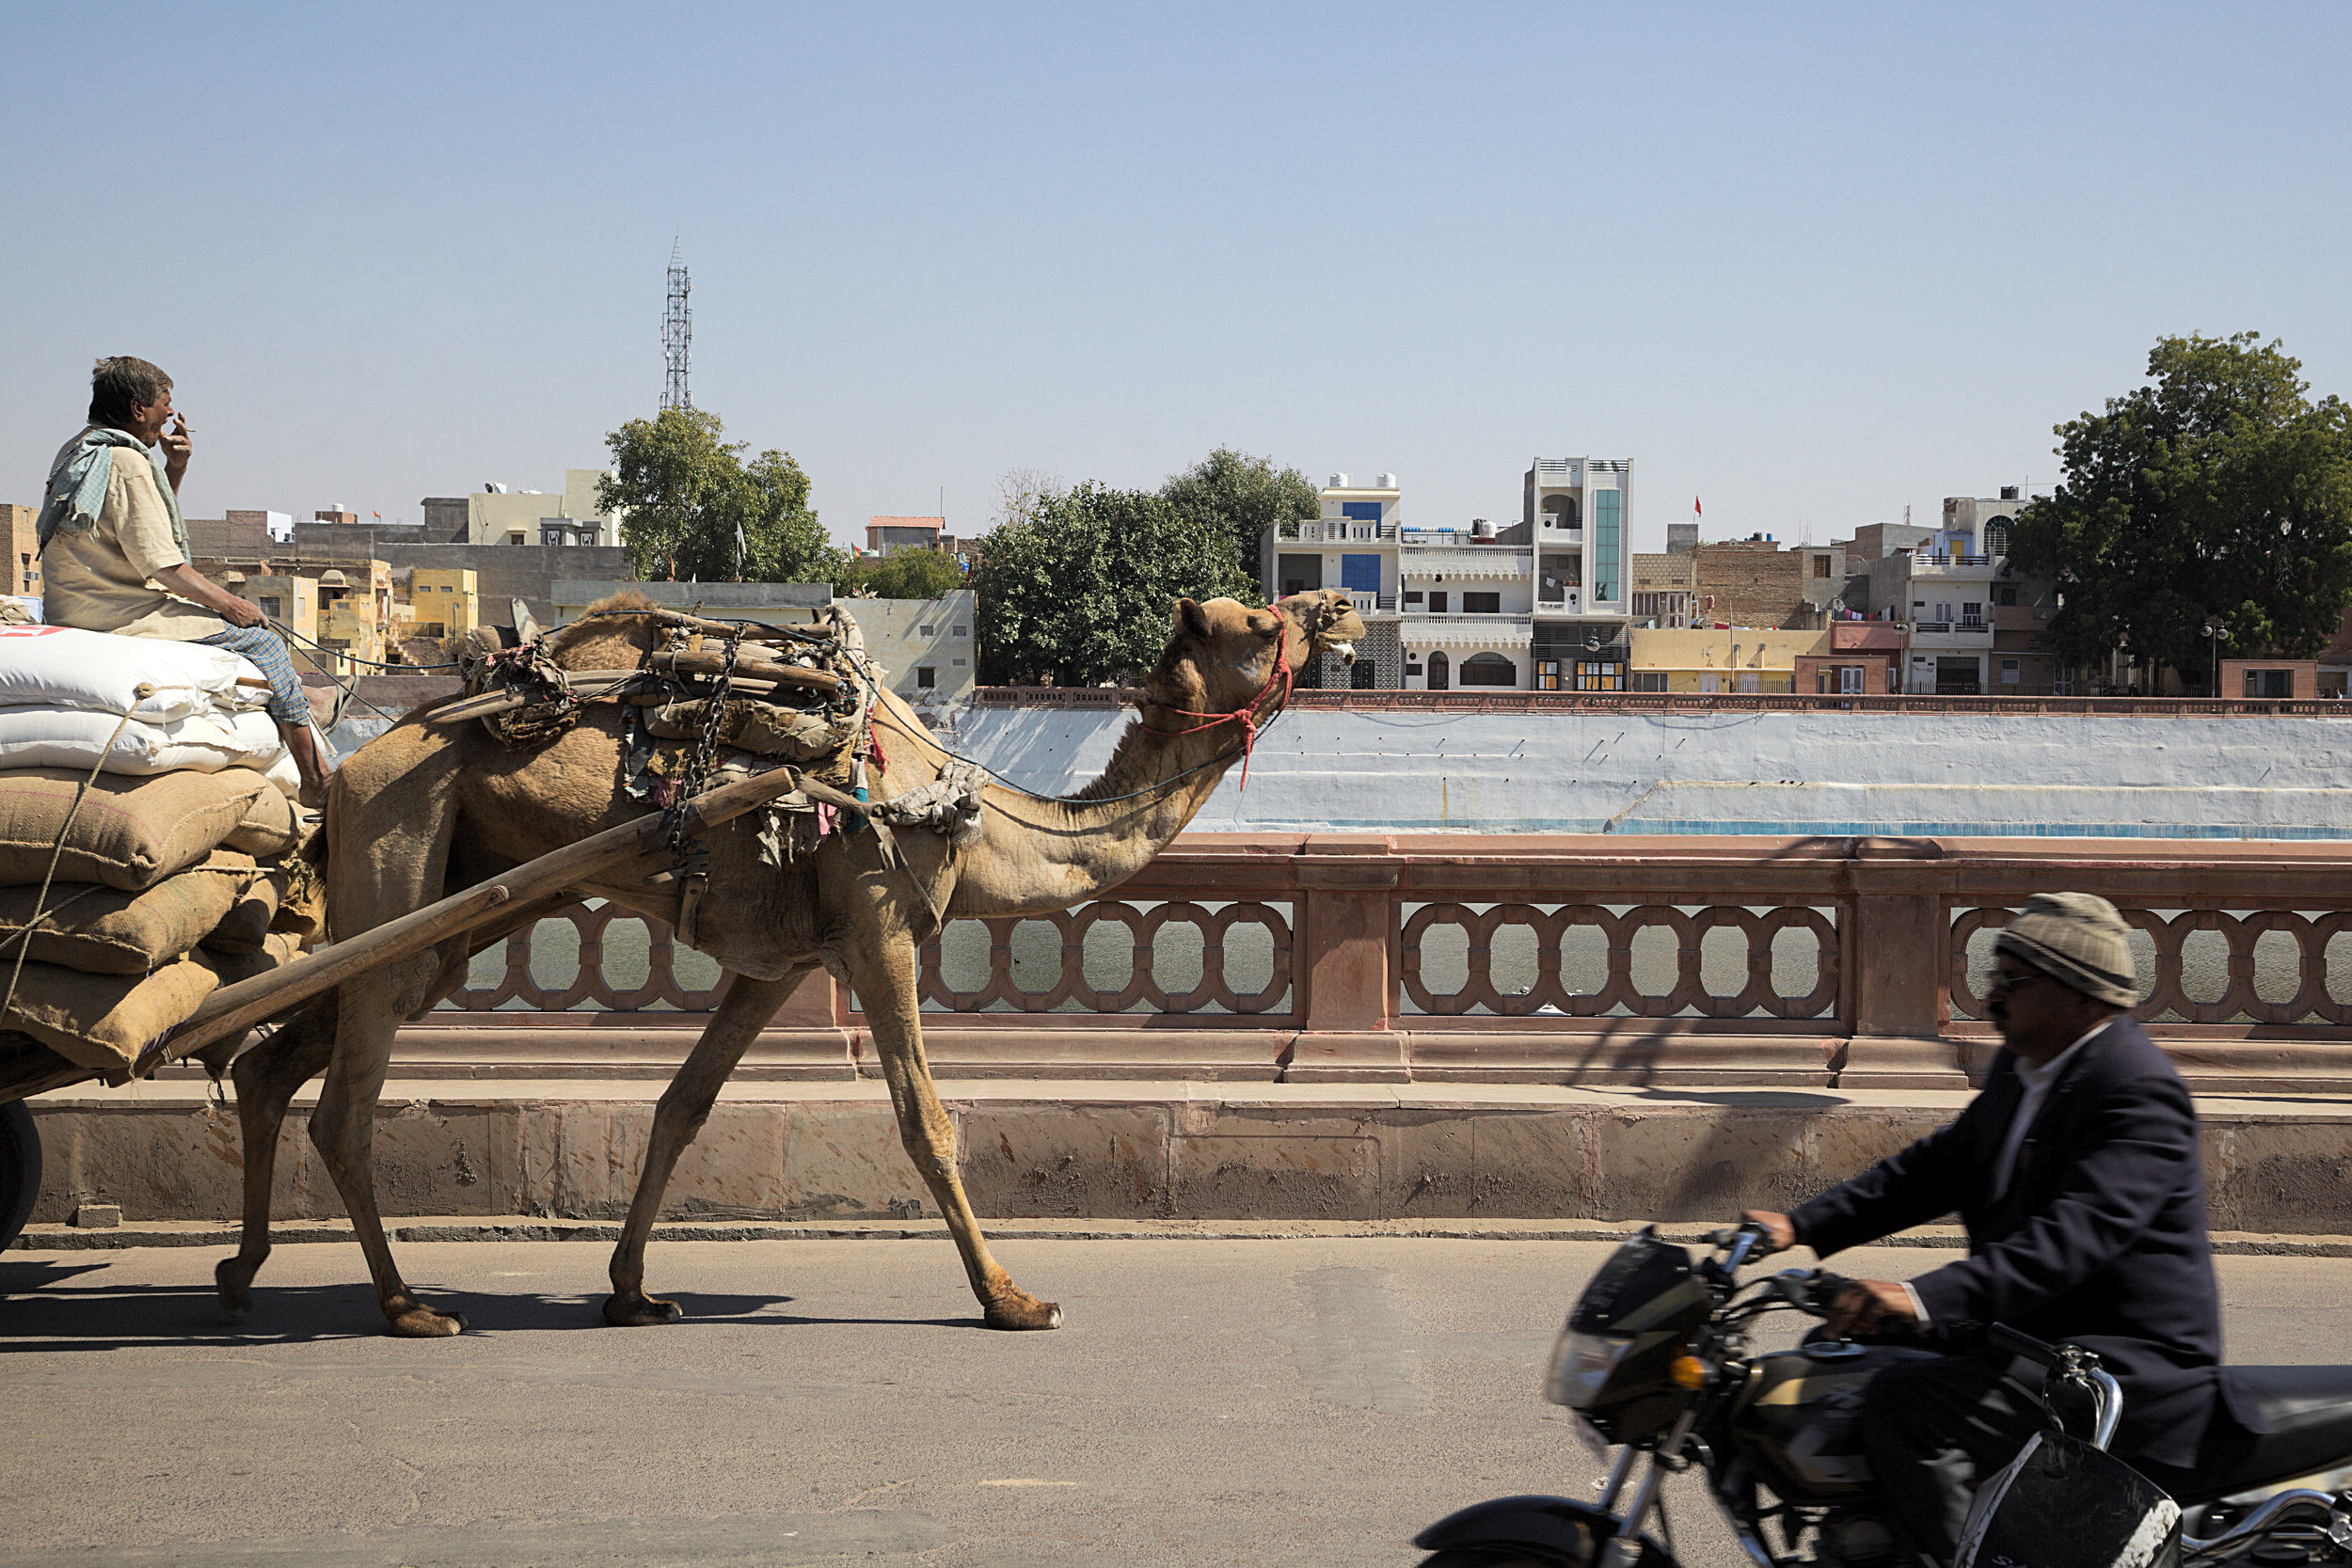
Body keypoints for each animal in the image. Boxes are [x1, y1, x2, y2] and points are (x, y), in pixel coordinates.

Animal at [216, 587, 1374, 1335]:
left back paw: (242, 1269)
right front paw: (1010, 1296)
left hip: (460, 901)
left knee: (278, 1056)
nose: (1345, 608)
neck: (963, 810)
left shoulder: (776, 962)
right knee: (342, 1101)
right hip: (400, 843)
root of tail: (344, 766)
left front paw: (633, 1289)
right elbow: (925, 1121)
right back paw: (406, 1303)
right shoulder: (878, 922)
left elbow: (682, 1105)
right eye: (1263, 621)